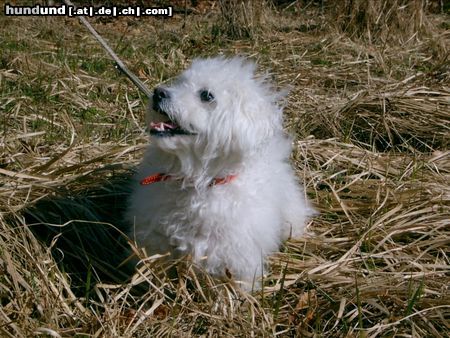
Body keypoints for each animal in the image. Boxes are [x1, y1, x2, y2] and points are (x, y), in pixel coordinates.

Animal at [126, 56, 314, 290]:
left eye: (206, 95)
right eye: (180, 82)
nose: (158, 92)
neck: (199, 183)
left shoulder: (236, 254)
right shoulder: (155, 241)